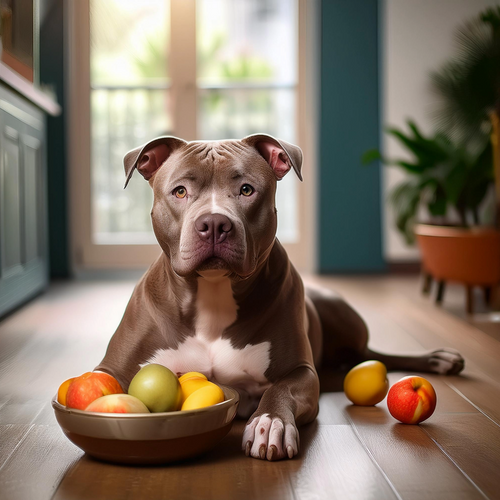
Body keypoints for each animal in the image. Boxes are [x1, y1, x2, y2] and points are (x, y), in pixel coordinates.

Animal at [96, 134, 464, 460]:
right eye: (180, 191)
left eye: (246, 190)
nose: (214, 223)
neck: (213, 294)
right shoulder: (113, 368)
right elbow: (101, 381)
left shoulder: (301, 371)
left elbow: (280, 388)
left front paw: (269, 423)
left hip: (339, 313)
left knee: (370, 354)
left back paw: (438, 359)